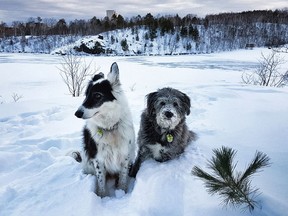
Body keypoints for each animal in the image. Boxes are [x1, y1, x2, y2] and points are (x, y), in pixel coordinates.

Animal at [75, 62, 137, 197]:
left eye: (97, 95)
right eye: (86, 95)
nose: (77, 113)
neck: (110, 128)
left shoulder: (125, 156)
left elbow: (123, 178)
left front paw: (122, 192)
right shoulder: (98, 159)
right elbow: (101, 181)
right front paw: (102, 196)